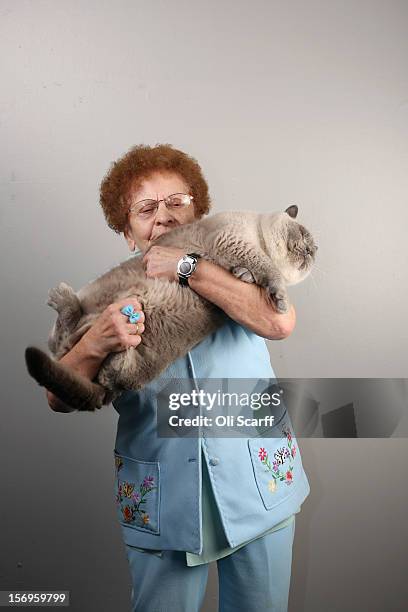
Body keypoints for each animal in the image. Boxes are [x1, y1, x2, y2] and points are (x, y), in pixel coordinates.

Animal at [24, 206, 318, 412]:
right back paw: (61, 296)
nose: (312, 252)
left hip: (128, 352)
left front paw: (247, 278)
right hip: (93, 306)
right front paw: (280, 299)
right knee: (62, 340)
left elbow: (254, 274)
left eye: (313, 247)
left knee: (92, 358)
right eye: (304, 236)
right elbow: (269, 271)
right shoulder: (233, 241)